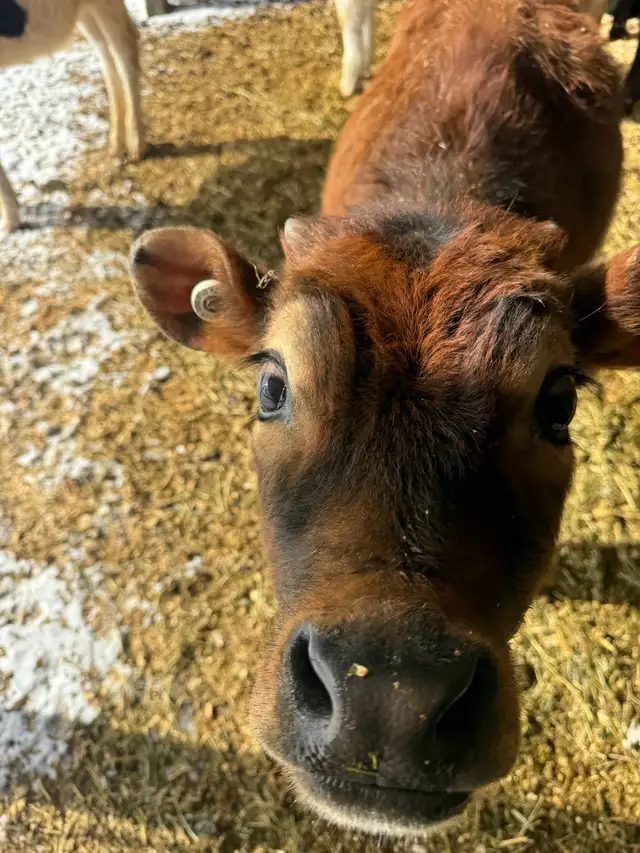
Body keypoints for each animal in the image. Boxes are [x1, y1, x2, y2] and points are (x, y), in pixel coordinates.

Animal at [0, 0, 145, 233]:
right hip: (85, 11)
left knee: (125, 50)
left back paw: (135, 147)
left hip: (106, 5)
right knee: (106, 55)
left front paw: (11, 220)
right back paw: (114, 146)